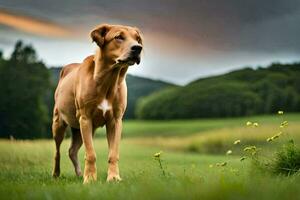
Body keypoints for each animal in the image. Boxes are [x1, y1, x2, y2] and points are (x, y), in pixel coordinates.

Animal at [51, 23, 143, 183]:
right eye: (118, 37)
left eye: (137, 39)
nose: (138, 48)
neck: (108, 80)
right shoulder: (85, 118)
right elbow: (91, 154)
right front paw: (90, 179)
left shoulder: (115, 120)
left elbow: (113, 153)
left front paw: (114, 177)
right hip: (59, 123)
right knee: (58, 151)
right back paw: (56, 174)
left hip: (80, 129)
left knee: (72, 151)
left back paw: (79, 173)